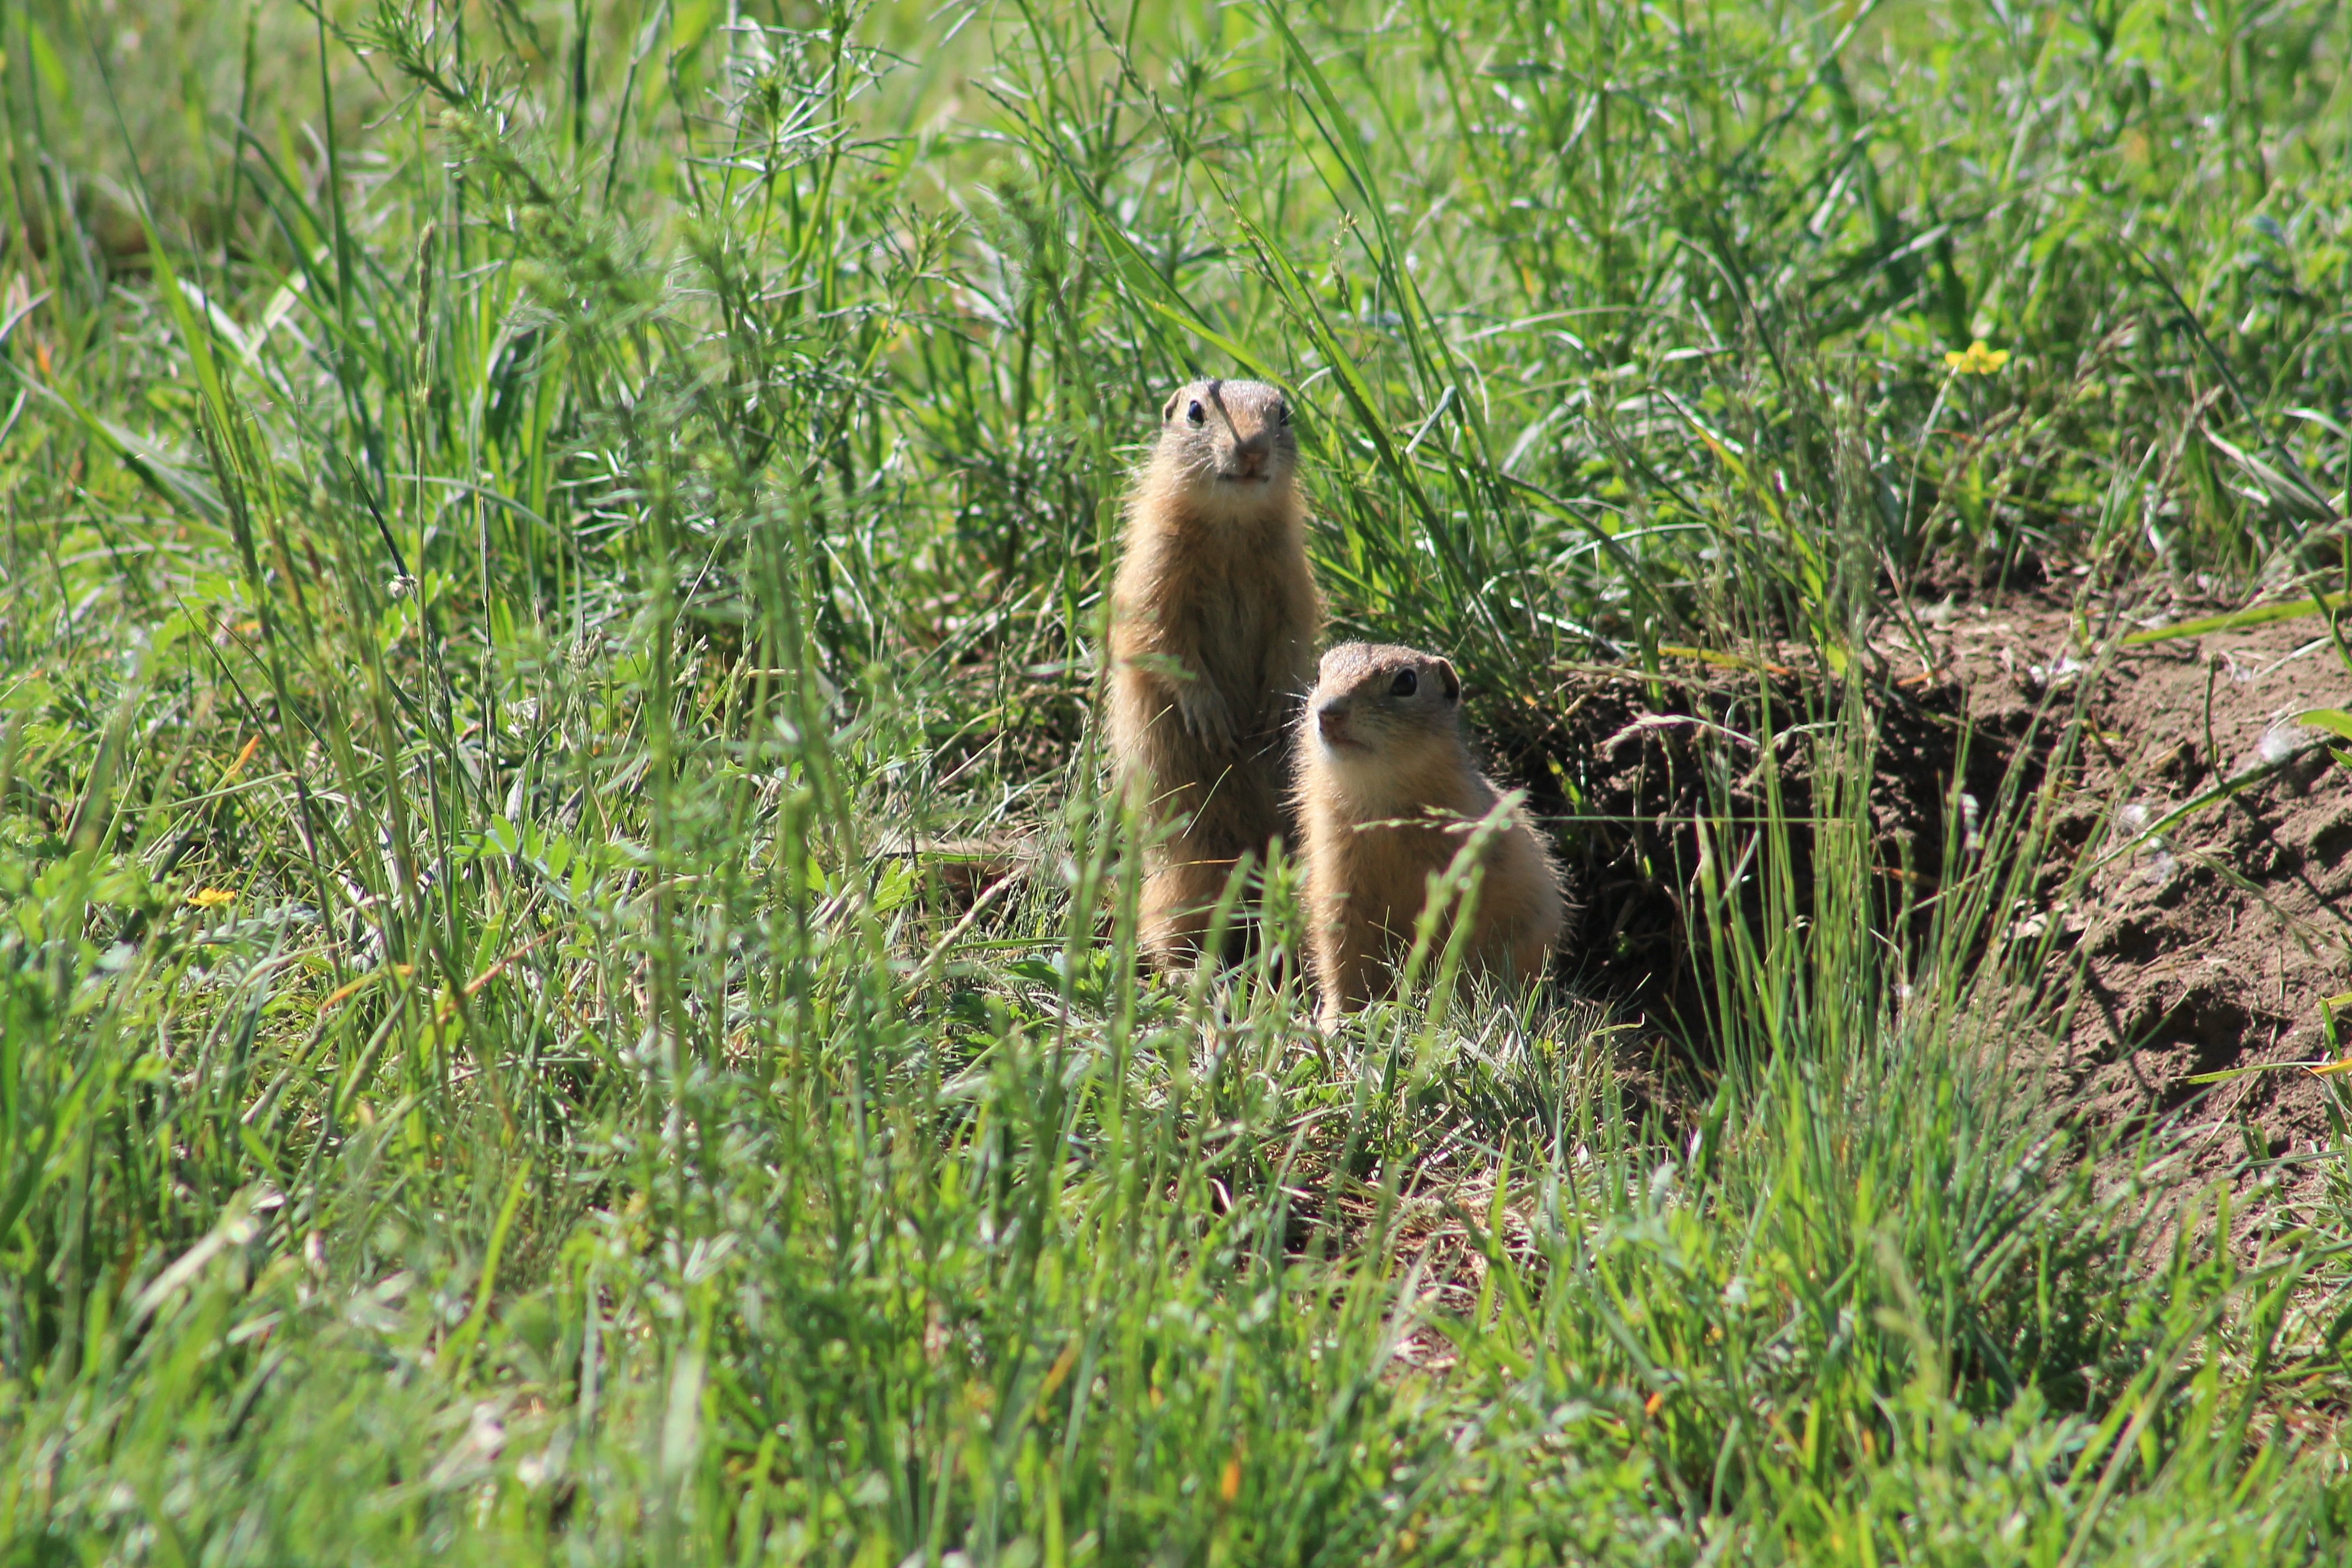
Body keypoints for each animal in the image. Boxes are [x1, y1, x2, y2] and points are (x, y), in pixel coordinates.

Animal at [1105, 380, 1326, 968]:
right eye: (1196, 411)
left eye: (1284, 414)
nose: (1252, 451)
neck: (1232, 525)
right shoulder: (1153, 573)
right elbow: (1158, 639)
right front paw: (1209, 714)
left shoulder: (1293, 579)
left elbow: (1295, 636)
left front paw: (1276, 707)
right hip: (1189, 874)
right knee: (1163, 933)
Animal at [1298, 639, 1571, 1025]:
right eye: (1319, 674)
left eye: (1406, 682)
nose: (1329, 712)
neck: (1379, 804)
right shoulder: (1337, 884)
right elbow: (1341, 959)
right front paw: (1334, 1022)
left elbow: (1454, 955)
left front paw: (1442, 1013)